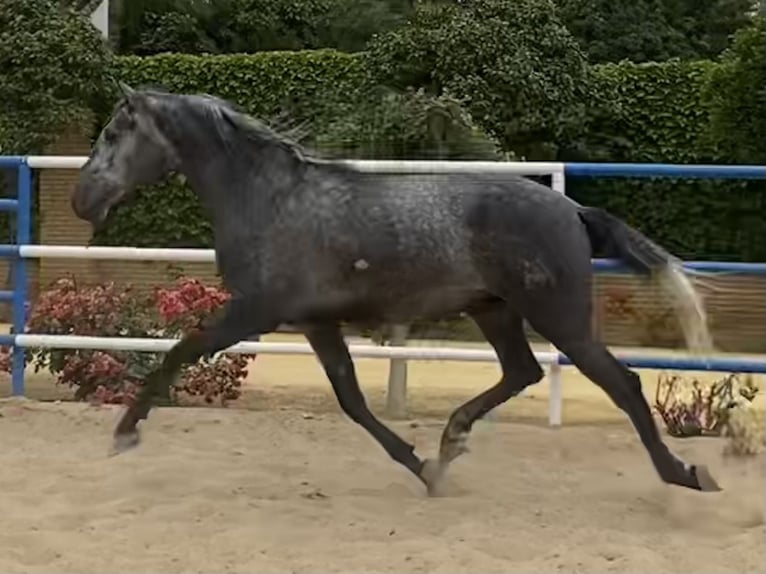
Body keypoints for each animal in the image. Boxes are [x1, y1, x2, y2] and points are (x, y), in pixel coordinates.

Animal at [69, 84, 724, 496]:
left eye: (114, 132)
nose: (81, 200)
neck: (269, 199)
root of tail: (572, 209)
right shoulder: (315, 322)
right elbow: (352, 401)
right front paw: (422, 467)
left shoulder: (254, 313)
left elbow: (179, 351)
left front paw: (125, 433)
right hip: (495, 311)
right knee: (523, 372)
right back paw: (451, 440)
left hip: (558, 316)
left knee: (623, 384)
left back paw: (687, 475)